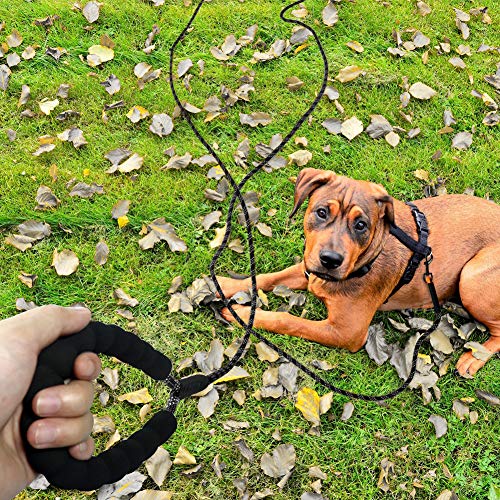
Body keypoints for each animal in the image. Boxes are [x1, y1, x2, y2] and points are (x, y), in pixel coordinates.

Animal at [221, 168, 500, 376]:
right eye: (321, 212)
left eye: (361, 225)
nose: (330, 260)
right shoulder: (308, 269)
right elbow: (268, 277)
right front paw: (224, 284)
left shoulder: (347, 332)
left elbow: (288, 321)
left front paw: (242, 314)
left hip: (470, 278)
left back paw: (474, 358)